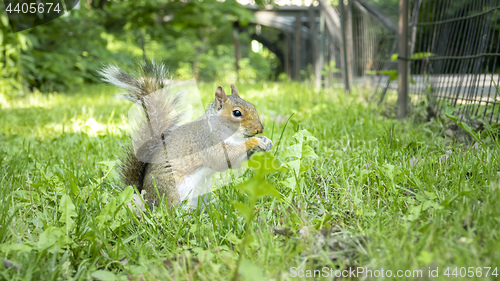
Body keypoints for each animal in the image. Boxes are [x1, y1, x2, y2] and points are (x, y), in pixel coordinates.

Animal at [100, 63, 274, 208]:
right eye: (237, 113)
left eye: (252, 106)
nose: (260, 129)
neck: (232, 135)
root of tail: (145, 197)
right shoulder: (206, 141)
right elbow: (222, 158)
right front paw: (254, 141)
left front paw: (265, 141)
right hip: (173, 189)